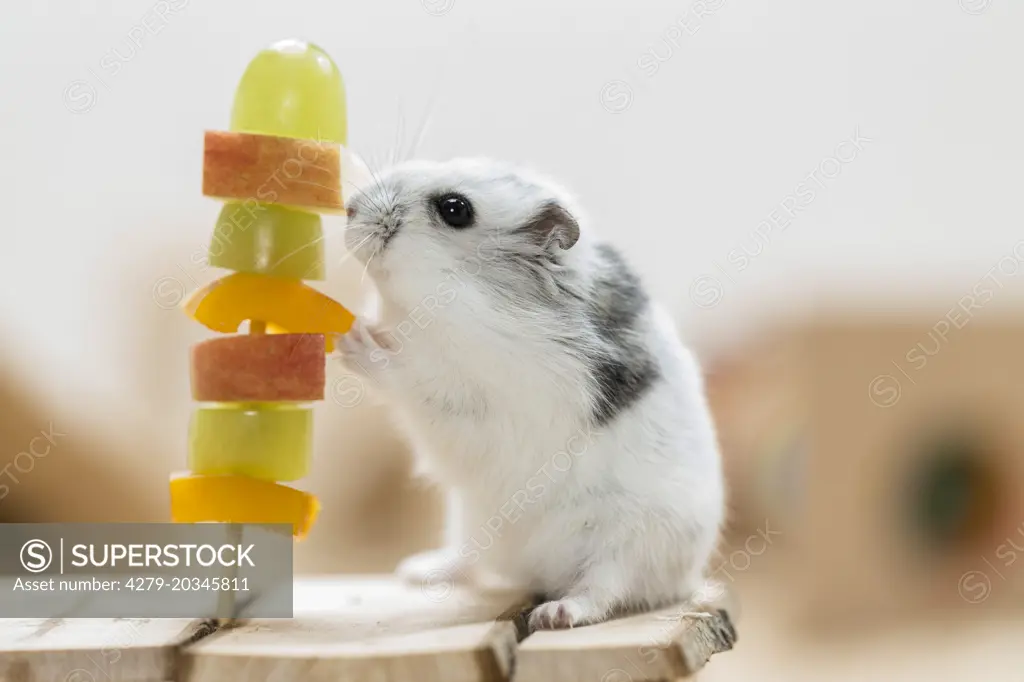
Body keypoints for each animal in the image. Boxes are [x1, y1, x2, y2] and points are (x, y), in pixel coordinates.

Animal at [339, 157, 724, 626]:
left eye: (455, 209)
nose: (349, 208)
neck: (464, 297)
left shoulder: (475, 396)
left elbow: (409, 376)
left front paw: (352, 339)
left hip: (633, 539)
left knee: (603, 589)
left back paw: (556, 613)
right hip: (468, 515)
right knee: (469, 557)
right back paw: (417, 572)